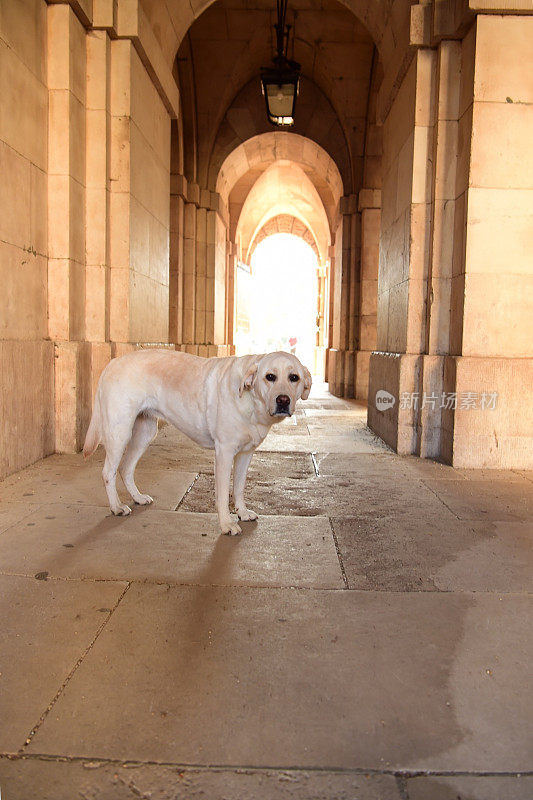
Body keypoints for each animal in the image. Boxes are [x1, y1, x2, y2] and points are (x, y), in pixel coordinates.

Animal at [81, 348, 310, 532]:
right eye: (270, 376)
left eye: (294, 377)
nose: (283, 400)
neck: (251, 402)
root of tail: (112, 362)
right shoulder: (224, 453)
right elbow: (222, 494)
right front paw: (226, 524)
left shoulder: (246, 454)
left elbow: (238, 487)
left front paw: (242, 513)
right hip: (119, 432)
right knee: (108, 472)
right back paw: (116, 507)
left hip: (145, 433)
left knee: (126, 468)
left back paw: (137, 497)